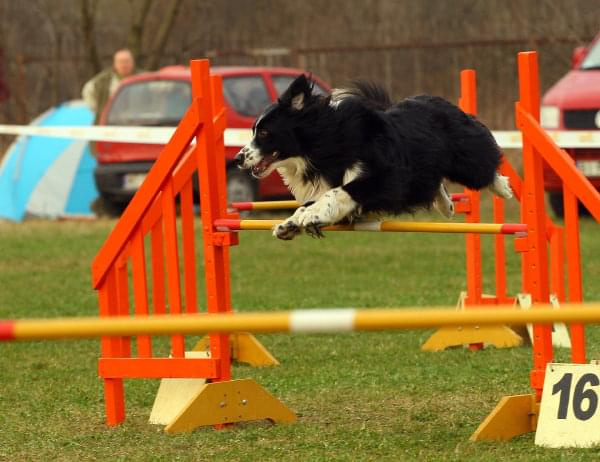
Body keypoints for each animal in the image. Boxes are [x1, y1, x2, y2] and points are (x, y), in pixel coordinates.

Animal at [234, 74, 510, 240]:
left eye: (265, 132)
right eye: (254, 130)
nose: (238, 158)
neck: (325, 142)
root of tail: (440, 100)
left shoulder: (385, 177)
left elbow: (339, 192)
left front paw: (309, 216)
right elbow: (315, 199)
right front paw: (289, 223)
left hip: (466, 157)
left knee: (484, 166)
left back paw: (504, 188)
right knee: (434, 185)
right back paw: (447, 205)